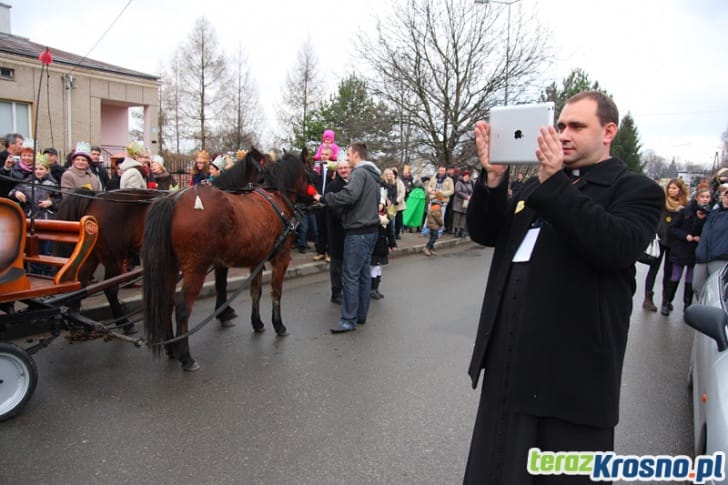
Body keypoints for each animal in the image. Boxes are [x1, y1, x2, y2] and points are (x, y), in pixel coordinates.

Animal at [142, 151, 312, 370]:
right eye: (310, 170)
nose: (315, 198)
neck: (276, 198)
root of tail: (174, 199)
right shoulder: (281, 258)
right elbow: (276, 292)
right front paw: (278, 325)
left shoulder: (256, 260)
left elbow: (255, 292)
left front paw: (257, 323)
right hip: (195, 268)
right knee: (182, 307)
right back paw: (186, 356)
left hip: (170, 267)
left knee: (168, 301)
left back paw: (172, 348)